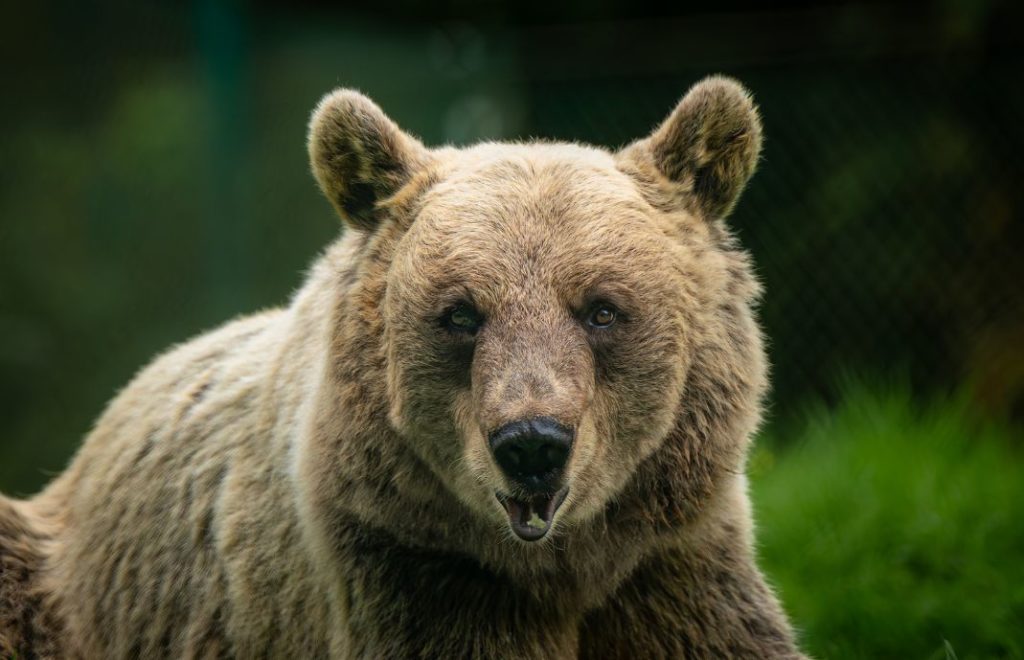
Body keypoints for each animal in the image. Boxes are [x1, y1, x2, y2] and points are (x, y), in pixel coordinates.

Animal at [0, 74, 802, 654]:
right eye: (461, 314)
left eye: (602, 309)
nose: (531, 444)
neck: (562, 570)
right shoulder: (415, 569)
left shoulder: (671, 565)